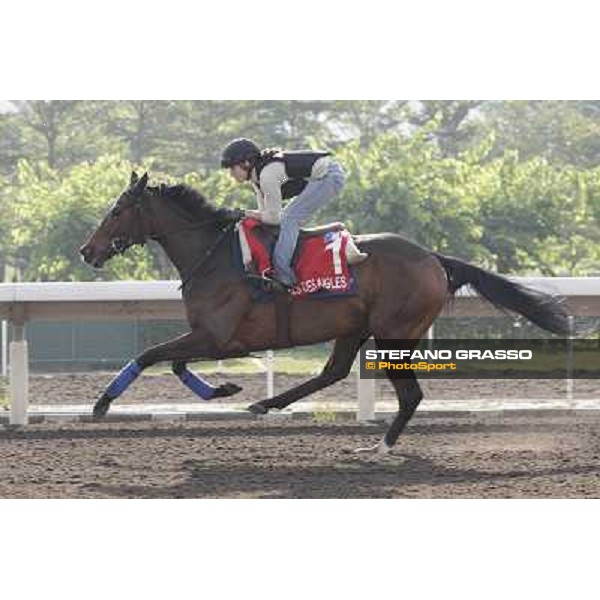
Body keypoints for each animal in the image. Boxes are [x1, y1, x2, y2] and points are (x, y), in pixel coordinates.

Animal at [79, 171, 572, 452]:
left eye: (118, 210)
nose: (87, 251)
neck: (213, 254)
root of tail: (433, 257)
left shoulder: (218, 336)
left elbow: (149, 356)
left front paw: (102, 403)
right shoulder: (213, 337)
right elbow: (175, 363)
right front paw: (225, 388)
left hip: (393, 333)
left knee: (410, 395)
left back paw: (381, 447)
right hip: (355, 327)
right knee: (333, 372)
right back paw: (265, 403)